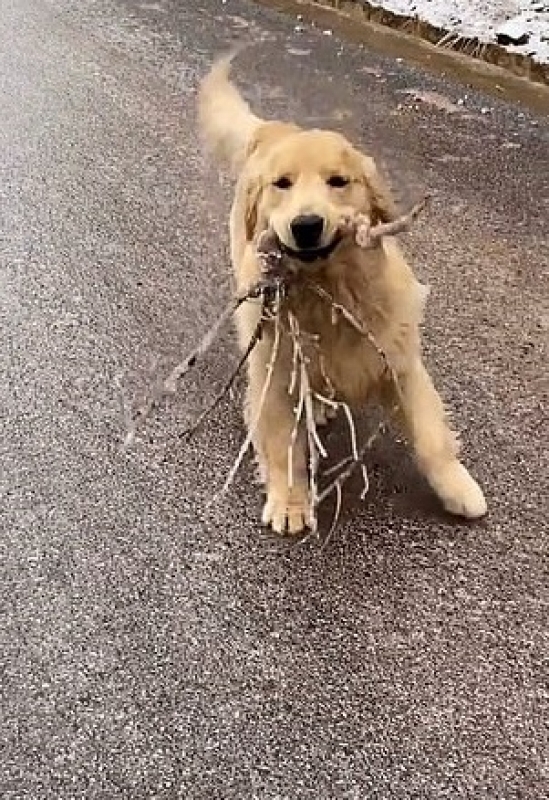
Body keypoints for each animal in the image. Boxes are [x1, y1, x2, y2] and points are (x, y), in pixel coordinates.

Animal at [196, 54, 484, 532]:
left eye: (338, 181)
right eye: (282, 184)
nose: (306, 225)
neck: (328, 291)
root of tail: (273, 128)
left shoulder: (401, 362)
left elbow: (431, 437)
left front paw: (458, 487)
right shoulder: (274, 372)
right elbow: (282, 445)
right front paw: (290, 502)